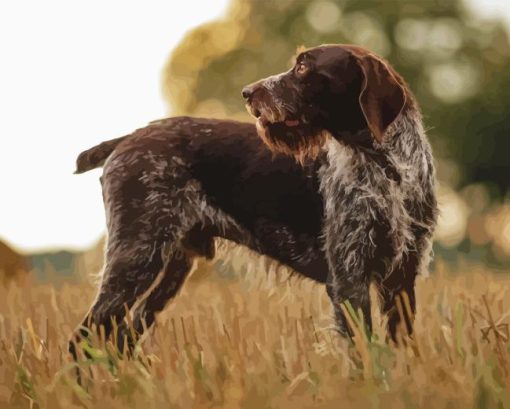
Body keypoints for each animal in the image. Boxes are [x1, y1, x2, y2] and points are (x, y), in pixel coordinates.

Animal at [72, 43, 438, 352]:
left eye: (303, 67)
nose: (247, 92)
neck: (389, 169)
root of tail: (128, 138)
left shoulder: (401, 277)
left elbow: (398, 349)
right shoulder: (349, 278)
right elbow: (365, 354)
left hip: (170, 265)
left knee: (123, 334)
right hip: (136, 256)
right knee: (85, 336)